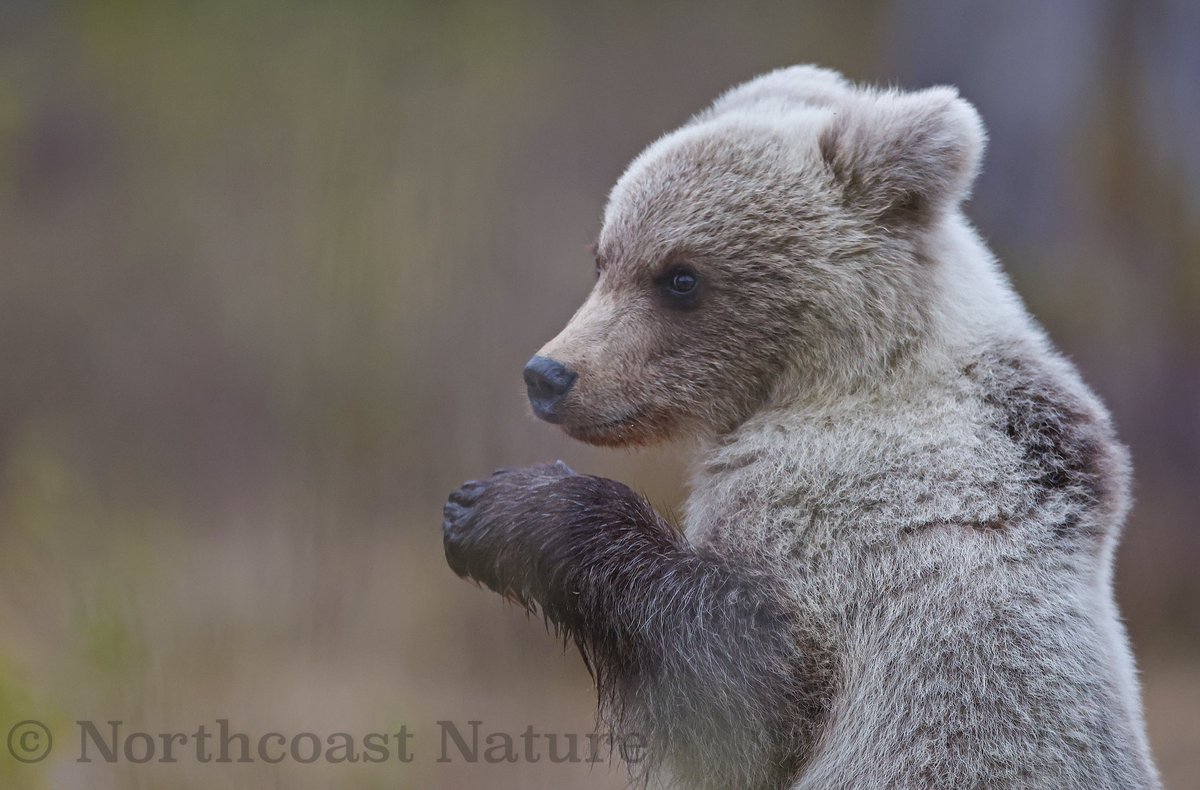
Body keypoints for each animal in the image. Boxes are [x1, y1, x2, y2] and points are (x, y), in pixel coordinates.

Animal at [442, 65, 1161, 789]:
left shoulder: (844, 508)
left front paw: (505, 508)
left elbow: (751, 688)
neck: (841, 375)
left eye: (680, 276)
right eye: (603, 257)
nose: (549, 374)